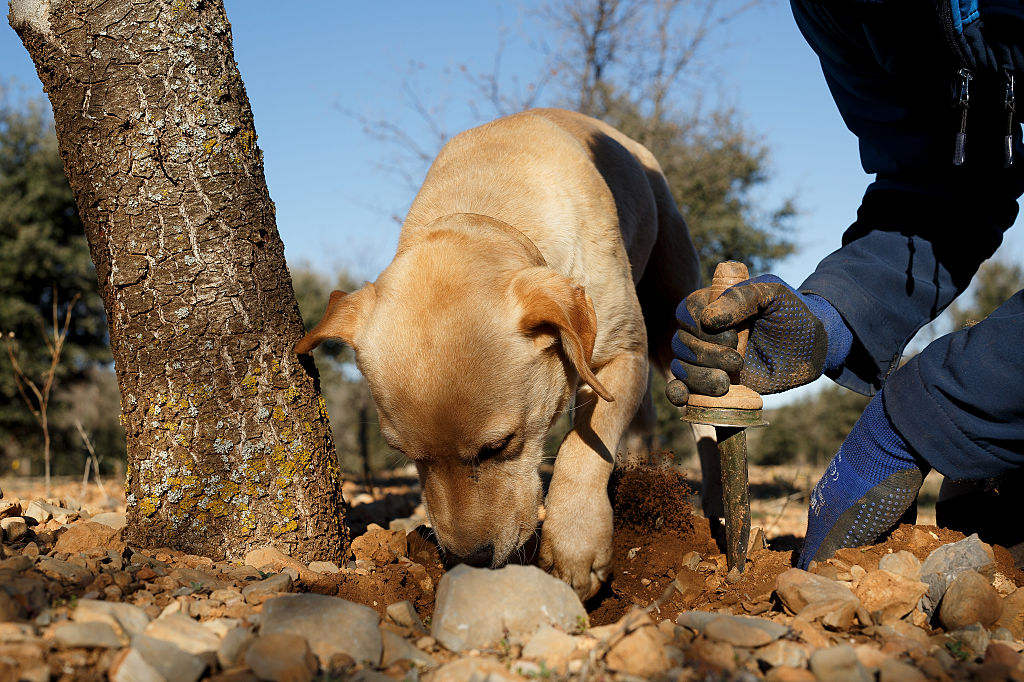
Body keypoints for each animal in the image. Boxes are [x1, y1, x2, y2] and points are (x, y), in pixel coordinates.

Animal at [299, 107, 704, 593]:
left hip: (672, 316)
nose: (469, 560)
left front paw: (575, 542)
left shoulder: (623, 357)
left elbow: (582, 447)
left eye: (500, 445)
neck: (487, 205)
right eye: (407, 455)